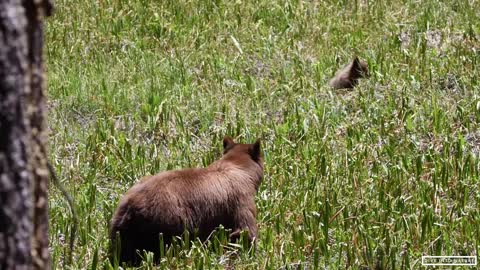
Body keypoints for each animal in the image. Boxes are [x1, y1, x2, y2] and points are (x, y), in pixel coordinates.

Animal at [109, 137, 262, 266]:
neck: (238, 167)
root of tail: (130, 206)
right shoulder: (241, 199)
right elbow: (244, 229)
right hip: (167, 223)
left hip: (122, 231)